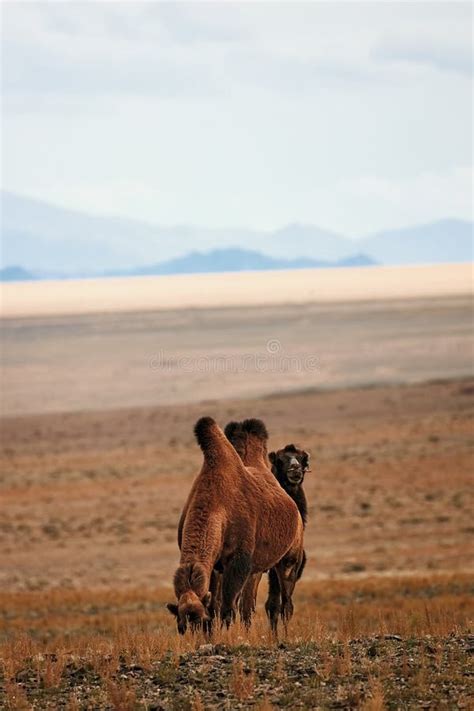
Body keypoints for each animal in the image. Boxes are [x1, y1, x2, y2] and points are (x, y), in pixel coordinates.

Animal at [168, 414, 302, 636]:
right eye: (181, 627)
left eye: (198, 620)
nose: (193, 638)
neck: (216, 507)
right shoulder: (215, 565)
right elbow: (214, 605)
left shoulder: (238, 561)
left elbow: (227, 607)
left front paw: (227, 635)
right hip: (257, 569)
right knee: (249, 604)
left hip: (289, 558)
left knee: (286, 602)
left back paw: (284, 634)